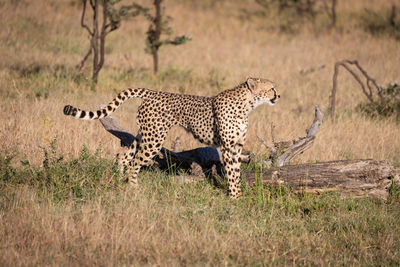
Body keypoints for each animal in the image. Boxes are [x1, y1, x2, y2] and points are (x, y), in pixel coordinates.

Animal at [64, 77, 280, 199]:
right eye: (271, 88)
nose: (279, 96)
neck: (248, 104)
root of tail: (154, 92)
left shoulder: (237, 146)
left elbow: (236, 171)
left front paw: (238, 195)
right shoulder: (228, 147)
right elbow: (232, 173)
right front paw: (234, 197)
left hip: (146, 134)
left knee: (123, 157)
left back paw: (119, 181)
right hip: (154, 139)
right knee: (134, 162)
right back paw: (134, 188)